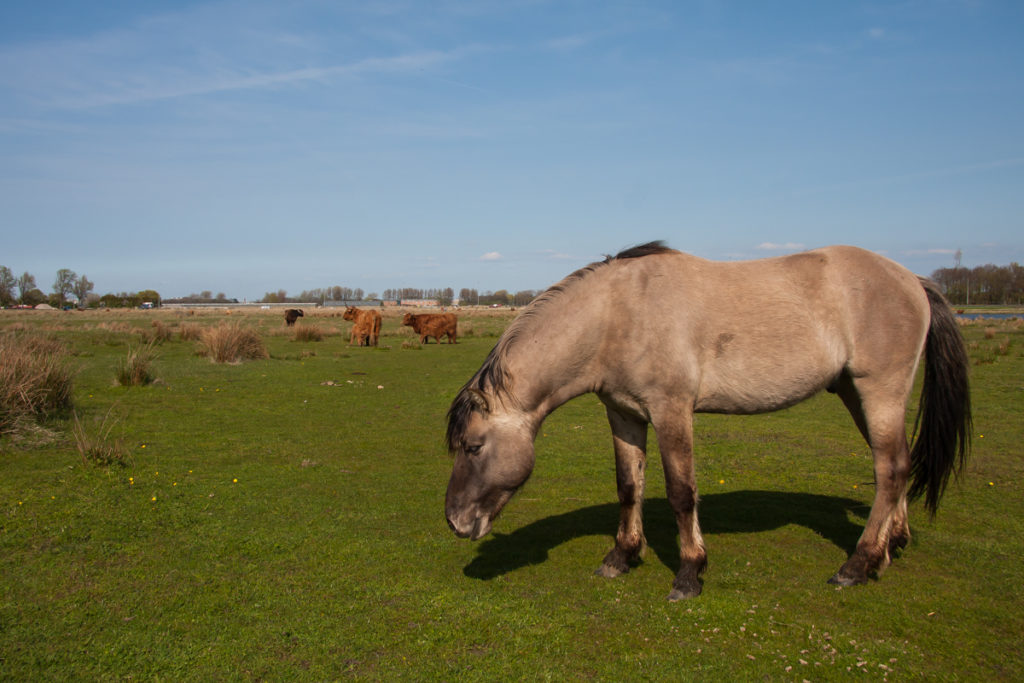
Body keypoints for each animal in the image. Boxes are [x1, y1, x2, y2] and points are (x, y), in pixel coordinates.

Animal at [444, 242, 970, 602]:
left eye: (474, 446)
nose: (454, 521)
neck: (618, 314)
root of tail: (911, 279)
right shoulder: (625, 414)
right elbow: (628, 487)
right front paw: (622, 556)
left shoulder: (671, 410)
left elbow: (682, 492)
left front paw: (689, 574)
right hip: (857, 395)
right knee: (896, 467)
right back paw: (890, 546)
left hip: (879, 392)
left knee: (890, 470)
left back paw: (858, 565)